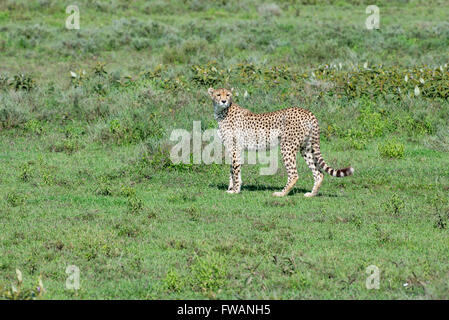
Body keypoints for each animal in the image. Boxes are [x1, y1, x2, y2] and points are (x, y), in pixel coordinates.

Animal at [207, 88, 354, 198]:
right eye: (218, 94)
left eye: (228, 94)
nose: (224, 101)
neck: (222, 112)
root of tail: (306, 111)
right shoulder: (234, 149)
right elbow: (232, 170)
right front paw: (231, 188)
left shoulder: (235, 148)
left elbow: (235, 170)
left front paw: (235, 190)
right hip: (306, 148)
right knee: (319, 173)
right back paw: (311, 194)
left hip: (287, 146)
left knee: (294, 174)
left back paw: (281, 193)